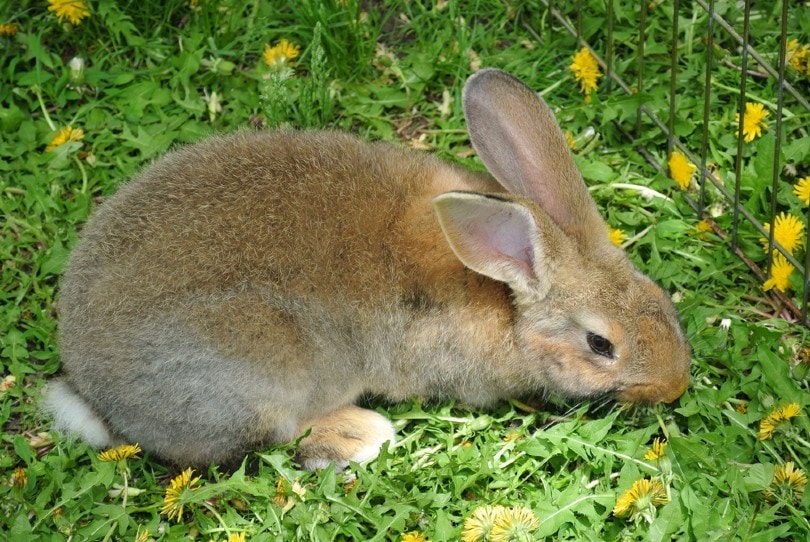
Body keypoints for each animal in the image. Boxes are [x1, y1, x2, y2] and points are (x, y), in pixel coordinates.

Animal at [44, 69, 691, 470]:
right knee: (278, 433)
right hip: (257, 367)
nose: (675, 385)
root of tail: (97, 392)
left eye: (661, 300)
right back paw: (362, 435)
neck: (506, 296)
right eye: (601, 345)